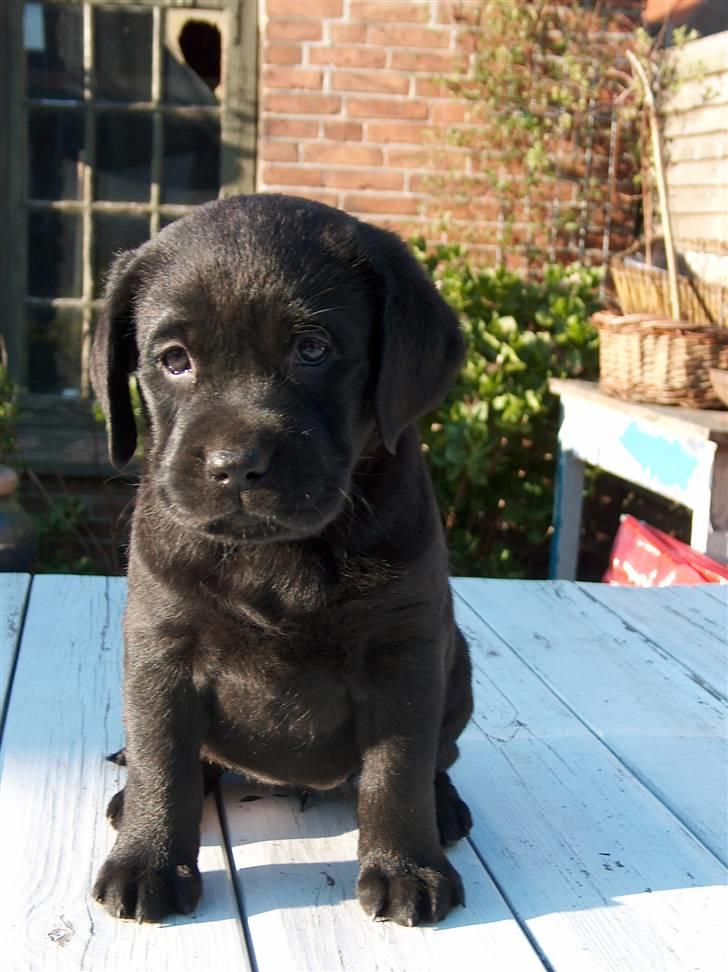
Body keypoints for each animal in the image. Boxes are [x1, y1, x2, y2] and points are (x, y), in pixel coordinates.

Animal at [91, 194, 474, 932]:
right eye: (174, 360)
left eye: (312, 349)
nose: (235, 464)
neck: (277, 555)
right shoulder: (162, 647)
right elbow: (162, 757)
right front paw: (147, 860)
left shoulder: (406, 652)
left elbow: (400, 769)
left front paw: (405, 867)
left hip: (459, 666)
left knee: (441, 756)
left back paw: (444, 809)